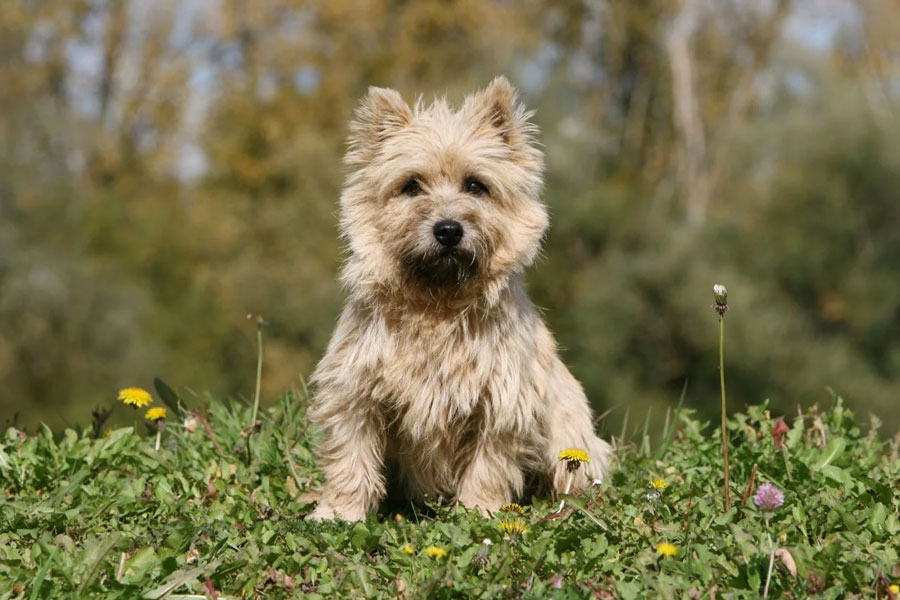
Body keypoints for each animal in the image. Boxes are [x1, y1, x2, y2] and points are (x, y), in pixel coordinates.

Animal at [308, 76, 612, 520]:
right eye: (411, 186)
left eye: (475, 185)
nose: (448, 229)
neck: (437, 303)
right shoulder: (356, 393)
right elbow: (351, 457)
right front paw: (338, 513)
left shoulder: (501, 404)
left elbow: (488, 465)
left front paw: (479, 512)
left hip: (569, 438)